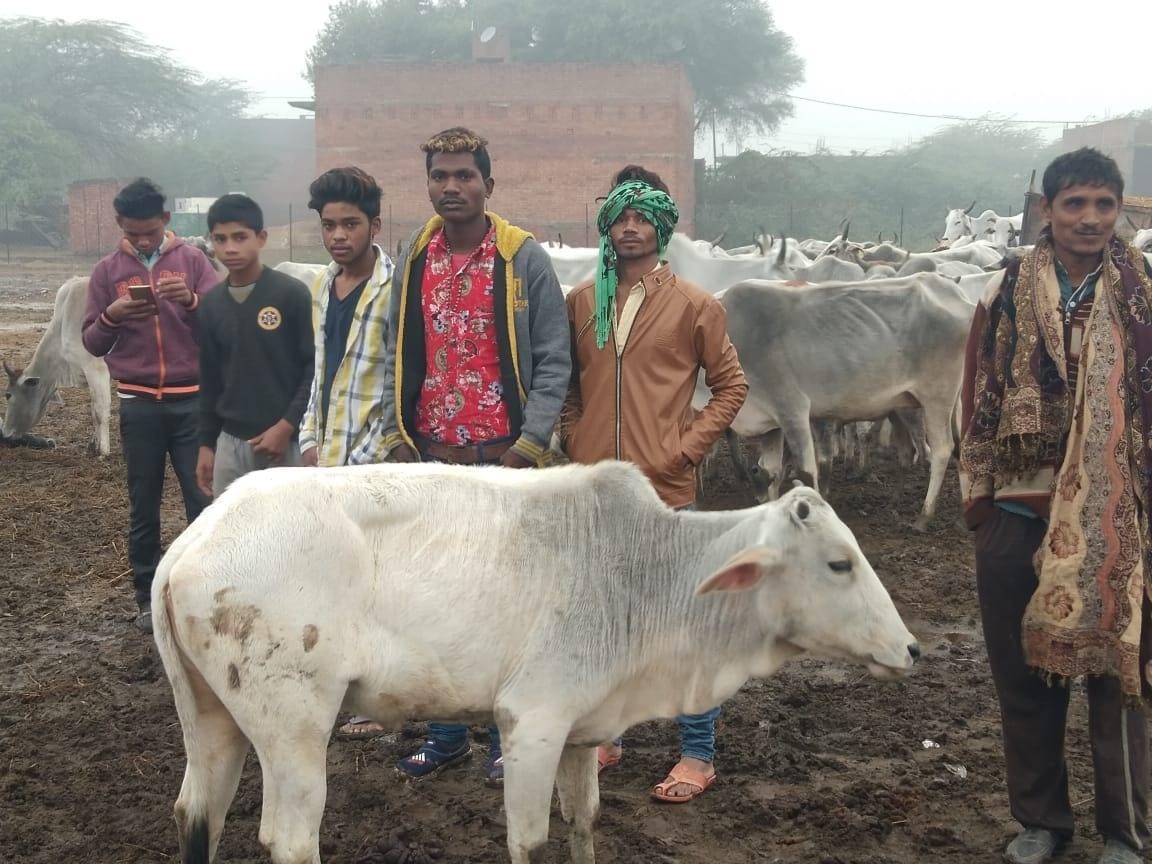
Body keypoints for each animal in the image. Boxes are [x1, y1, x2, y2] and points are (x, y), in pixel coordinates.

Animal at [2, 277, 111, 456]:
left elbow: (100, 411)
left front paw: (103, 451)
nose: (4, 433)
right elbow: (93, 409)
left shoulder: (96, 368)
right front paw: (93, 445)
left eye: (8, 395)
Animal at [153, 462, 918, 864]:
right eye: (839, 563)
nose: (910, 649)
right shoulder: (532, 723)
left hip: (213, 717)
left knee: (198, 811)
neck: (644, 572)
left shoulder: (584, 731)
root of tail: (190, 543)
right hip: (295, 726)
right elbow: (531, 840)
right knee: (288, 836)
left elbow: (585, 821)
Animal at [708, 274, 972, 531]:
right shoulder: (771, 424)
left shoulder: (793, 410)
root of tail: (959, 296)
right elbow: (770, 471)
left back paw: (924, 516)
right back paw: (953, 515)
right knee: (949, 448)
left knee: (941, 449)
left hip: (937, 397)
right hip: (938, 403)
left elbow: (807, 472)